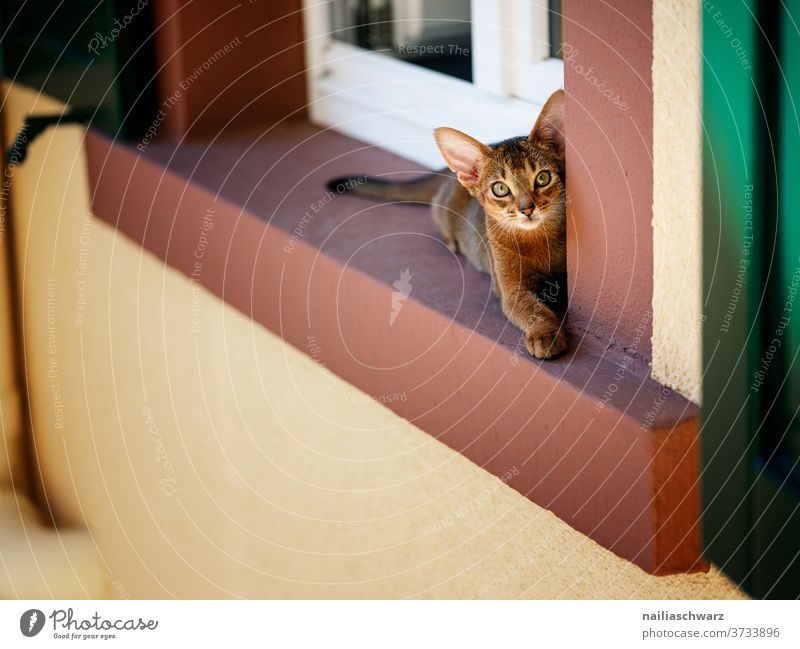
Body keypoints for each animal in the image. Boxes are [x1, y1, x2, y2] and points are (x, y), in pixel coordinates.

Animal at [328, 90, 564, 360]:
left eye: (542, 178)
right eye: (500, 189)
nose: (527, 209)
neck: (539, 238)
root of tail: (448, 174)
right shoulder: (510, 289)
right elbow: (534, 309)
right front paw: (545, 333)